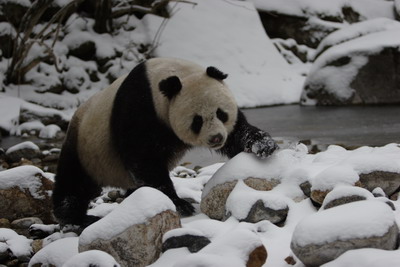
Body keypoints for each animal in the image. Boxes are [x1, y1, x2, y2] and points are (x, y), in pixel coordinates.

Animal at [52, 58, 278, 226]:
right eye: (197, 121)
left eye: (221, 113)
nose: (216, 138)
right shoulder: (139, 106)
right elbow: (143, 159)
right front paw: (180, 204)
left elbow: (238, 133)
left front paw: (264, 145)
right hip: (85, 146)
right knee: (73, 182)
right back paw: (75, 217)